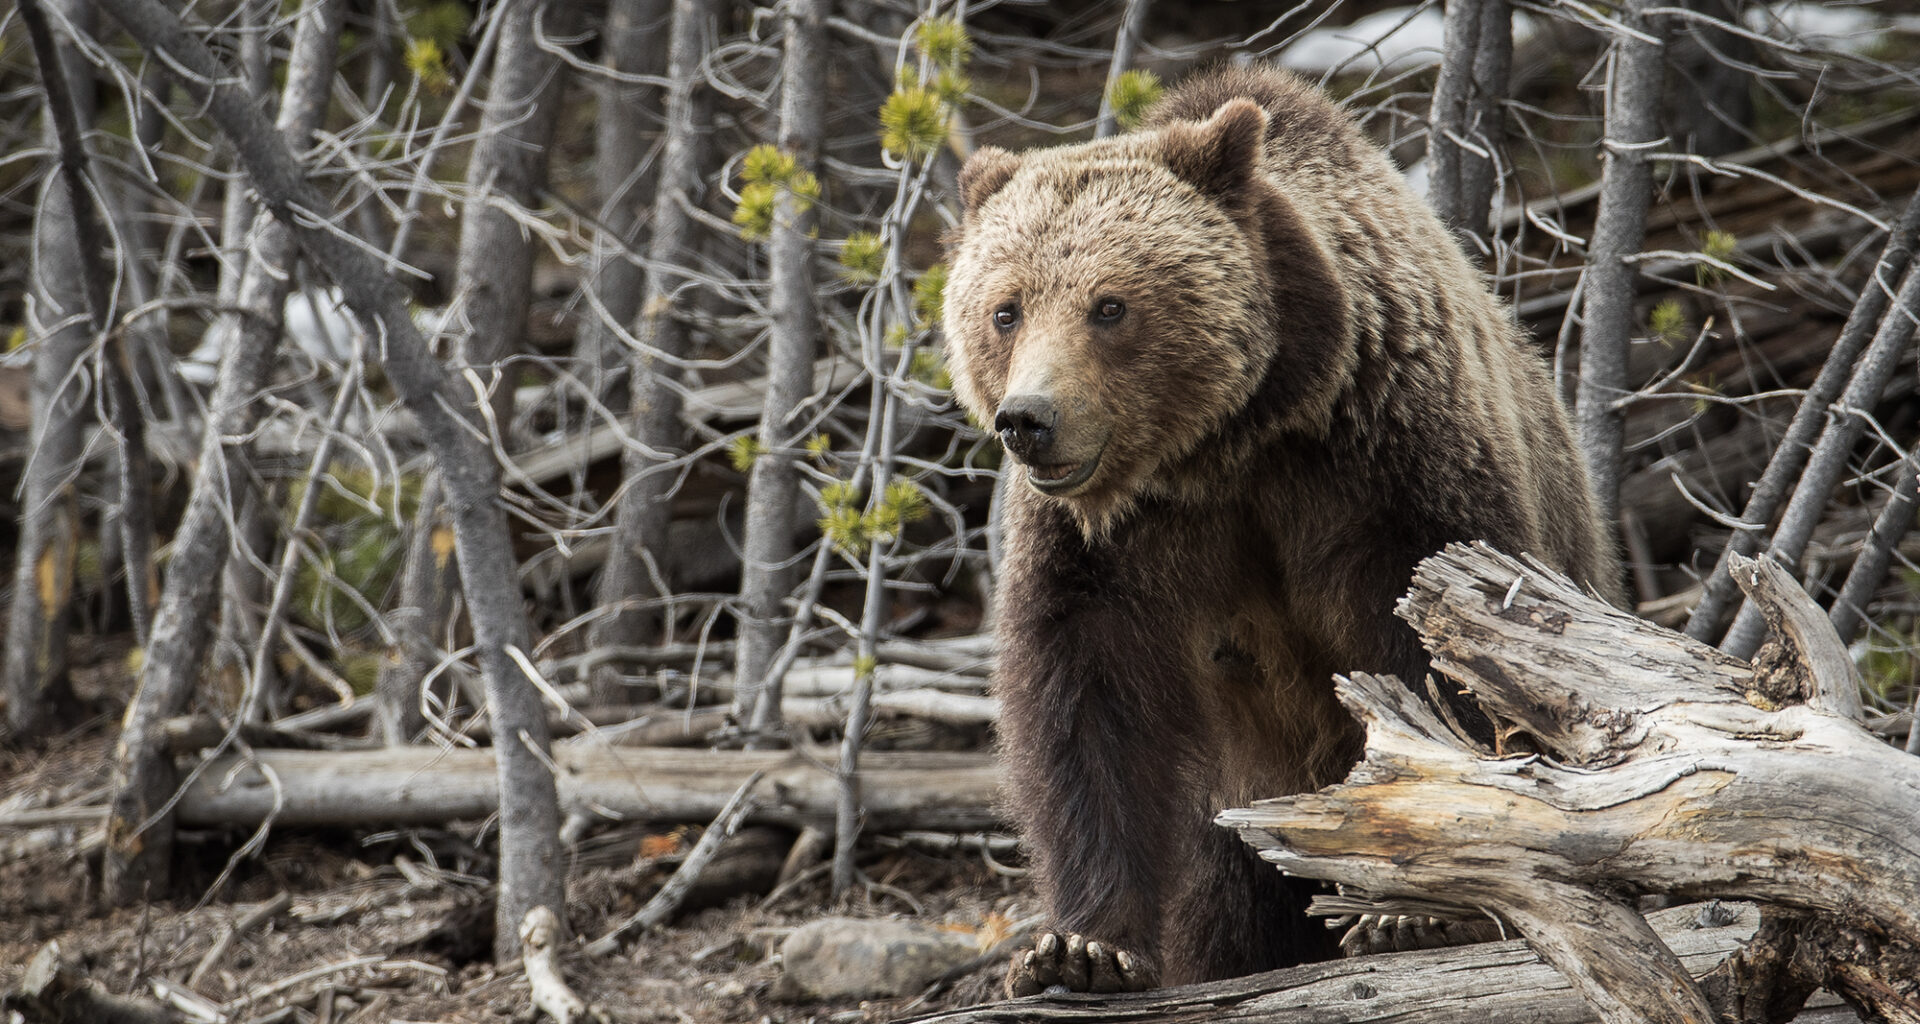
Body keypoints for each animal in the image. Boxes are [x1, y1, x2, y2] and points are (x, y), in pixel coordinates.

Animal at [940, 64, 1623, 996]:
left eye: (1109, 305)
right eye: (1006, 309)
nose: (1029, 420)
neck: (1228, 443)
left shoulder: (1384, 465)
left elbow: (1444, 658)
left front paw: (1414, 911)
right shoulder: (1106, 543)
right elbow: (1087, 702)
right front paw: (1082, 948)